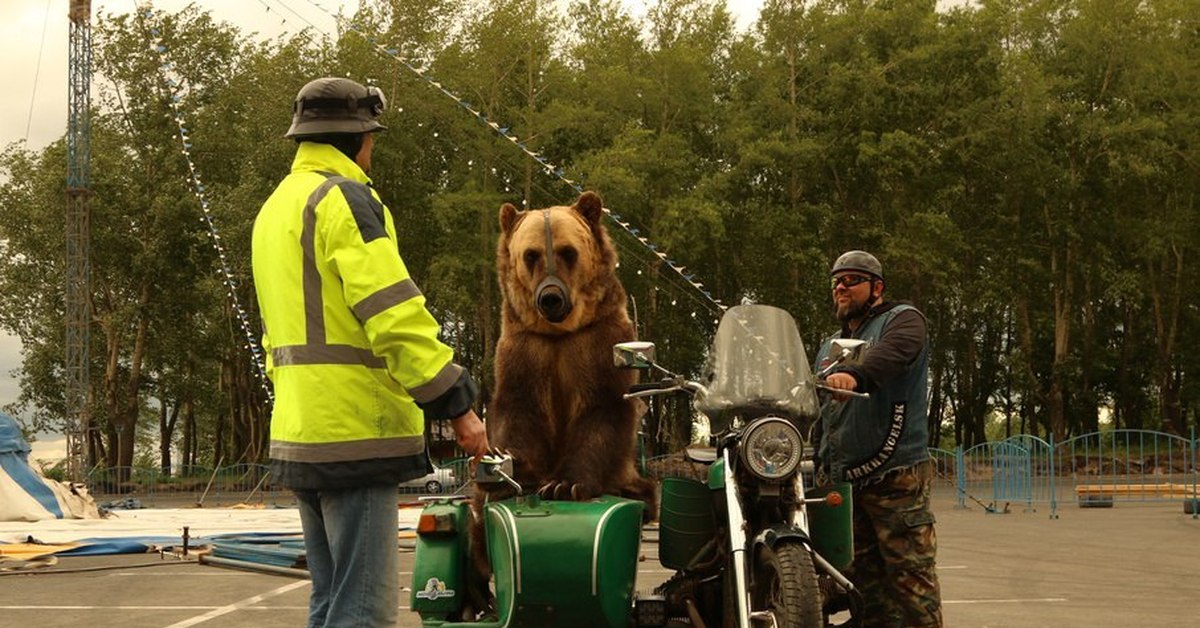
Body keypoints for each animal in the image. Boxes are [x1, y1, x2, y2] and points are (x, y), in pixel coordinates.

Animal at [487, 190, 657, 506]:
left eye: (568, 252)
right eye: (531, 255)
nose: (550, 298)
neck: (559, 333)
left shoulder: (597, 339)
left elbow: (601, 407)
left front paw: (564, 484)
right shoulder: (525, 346)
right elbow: (520, 407)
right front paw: (510, 468)